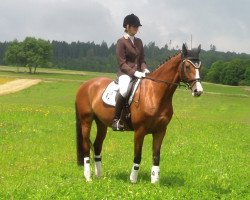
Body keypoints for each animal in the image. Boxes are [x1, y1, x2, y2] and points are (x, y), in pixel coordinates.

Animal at [74, 43, 203, 183]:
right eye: (187, 66)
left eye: (200, 65)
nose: (198, 91)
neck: (154, 93)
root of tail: (85, 85)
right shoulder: (140, 130)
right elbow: (137, 156)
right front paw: (133, 180)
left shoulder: (160, 131)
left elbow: (156, 156)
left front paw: (155, 182)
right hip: (86, 120)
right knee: (86, 146)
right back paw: (88, 177)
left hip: (101, 123)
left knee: (97, 146)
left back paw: (99, 175)